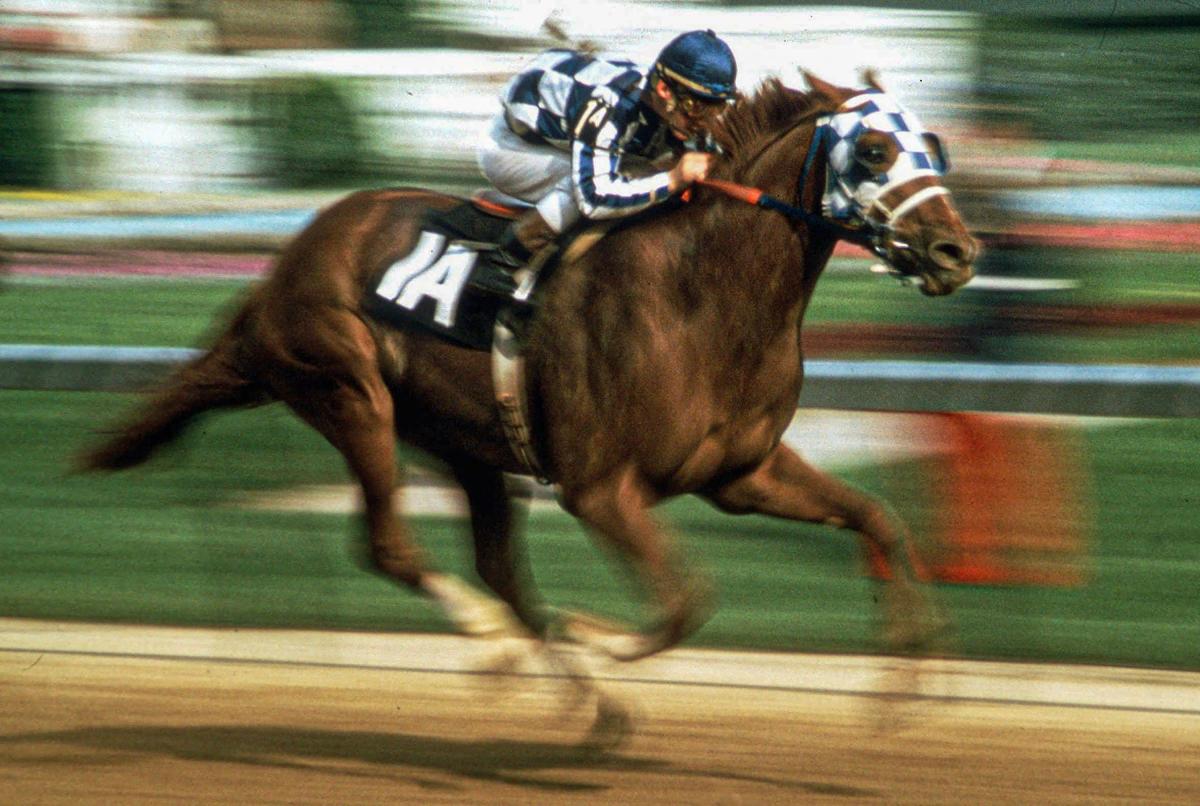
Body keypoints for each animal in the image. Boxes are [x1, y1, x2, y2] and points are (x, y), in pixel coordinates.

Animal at [79, 75, 974, 666]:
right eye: (874, 148)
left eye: (931, 145)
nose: (956, 252)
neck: (704, 294)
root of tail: (281, 268)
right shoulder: (600, 487)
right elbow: (686, 602)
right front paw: (596, 634)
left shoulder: (742, 473)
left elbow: (877, 516)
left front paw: (910, 664)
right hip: (347, 389)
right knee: (394, 546)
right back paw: (500, 643)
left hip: (465, 444)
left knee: (500, 571)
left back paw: (568, 688)